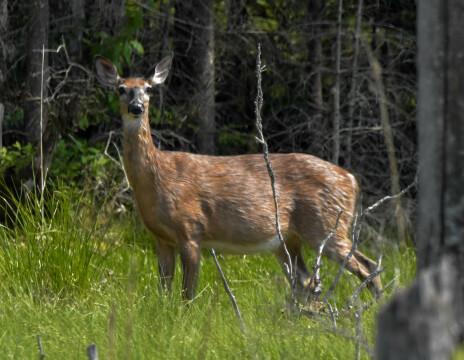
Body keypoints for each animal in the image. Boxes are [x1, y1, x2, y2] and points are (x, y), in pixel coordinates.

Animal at [94, 54, 380, 300]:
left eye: (148, 89)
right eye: (121, 88)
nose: (136, 107)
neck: (156, 181)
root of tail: (351, 180)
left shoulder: (190, 228)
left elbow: (188, 293)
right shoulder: (161, 238)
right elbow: (164, 289)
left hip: (325, 223)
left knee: (367, 265)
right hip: (289, 239)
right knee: (306, 279)